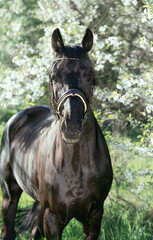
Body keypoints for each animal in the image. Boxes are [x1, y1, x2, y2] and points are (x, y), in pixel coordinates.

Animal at [0, 28, 112, 240]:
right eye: (53, 76)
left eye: (90, 75)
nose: (72, 126)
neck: (76, 165)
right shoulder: (52, 217)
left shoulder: (94, 217)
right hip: (10, 194)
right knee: (8, 229)